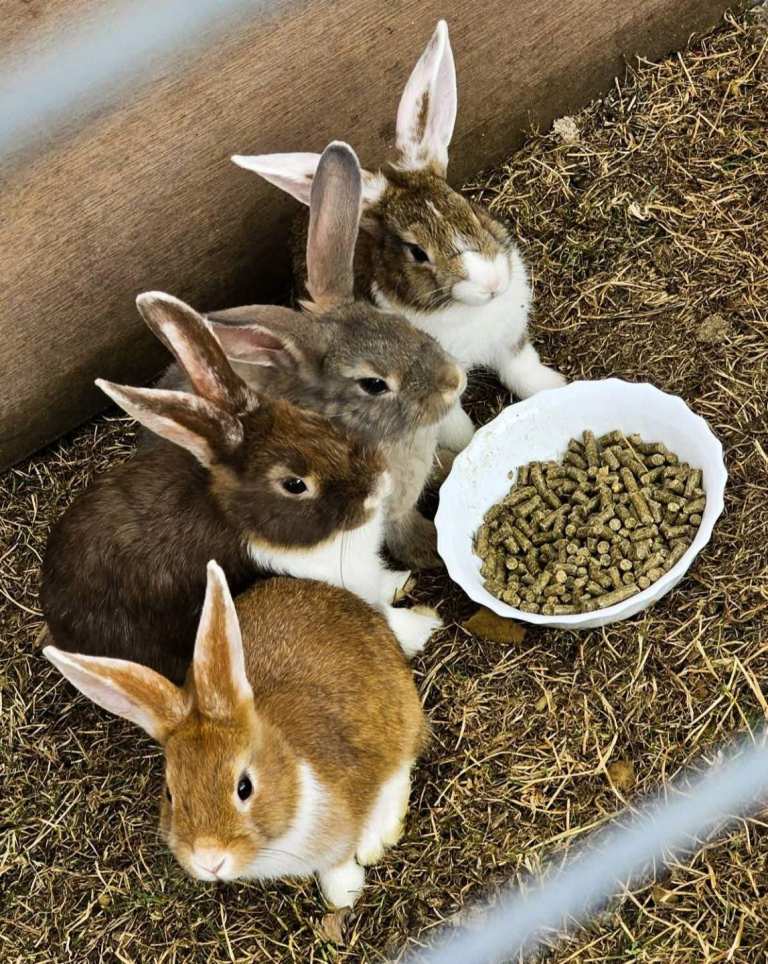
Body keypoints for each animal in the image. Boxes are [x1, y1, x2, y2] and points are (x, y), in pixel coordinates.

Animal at [41, 292, 441, 684]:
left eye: (313, 420)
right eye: (294, 484)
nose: (377, 485)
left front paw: (400, 581)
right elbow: (387, 619)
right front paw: (425, 626)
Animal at [44, 561, 426, 908]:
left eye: (245, 787)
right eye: (170, 793)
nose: (209, 860)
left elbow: (339, 861)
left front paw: (344, 895)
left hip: (399, 717)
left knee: (401, 768)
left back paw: (378, 838)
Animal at [159, 142, 466, 569]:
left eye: (397, 321)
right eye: (373, 384)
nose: (454, 380)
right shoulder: (388, 512)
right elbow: (406, 534)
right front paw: (432, 550)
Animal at [232, 20, 566, 456]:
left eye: (468, 208)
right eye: (417, 252)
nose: (492, 283)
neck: (469, 312)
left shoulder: (510, 340)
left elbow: (523, 370)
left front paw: (557, 387)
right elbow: (454, 424)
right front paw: (467, 446)